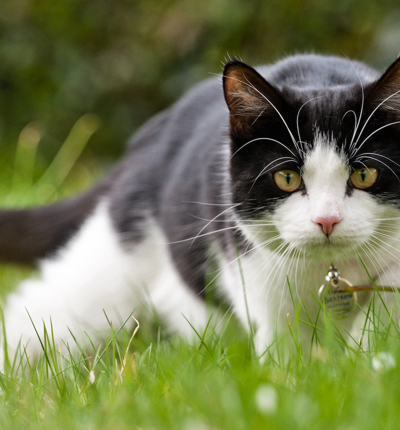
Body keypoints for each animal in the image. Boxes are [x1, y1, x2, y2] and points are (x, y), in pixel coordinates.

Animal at [0, 51, 400, 366]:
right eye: (287, 177)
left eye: (364, 174)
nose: (327, 219)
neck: (330, 271)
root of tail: (151, 136)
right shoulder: (251, 265)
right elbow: (282, 335)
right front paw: (294, 374)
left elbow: (387, 296)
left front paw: (365, 357)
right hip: (112, 266)